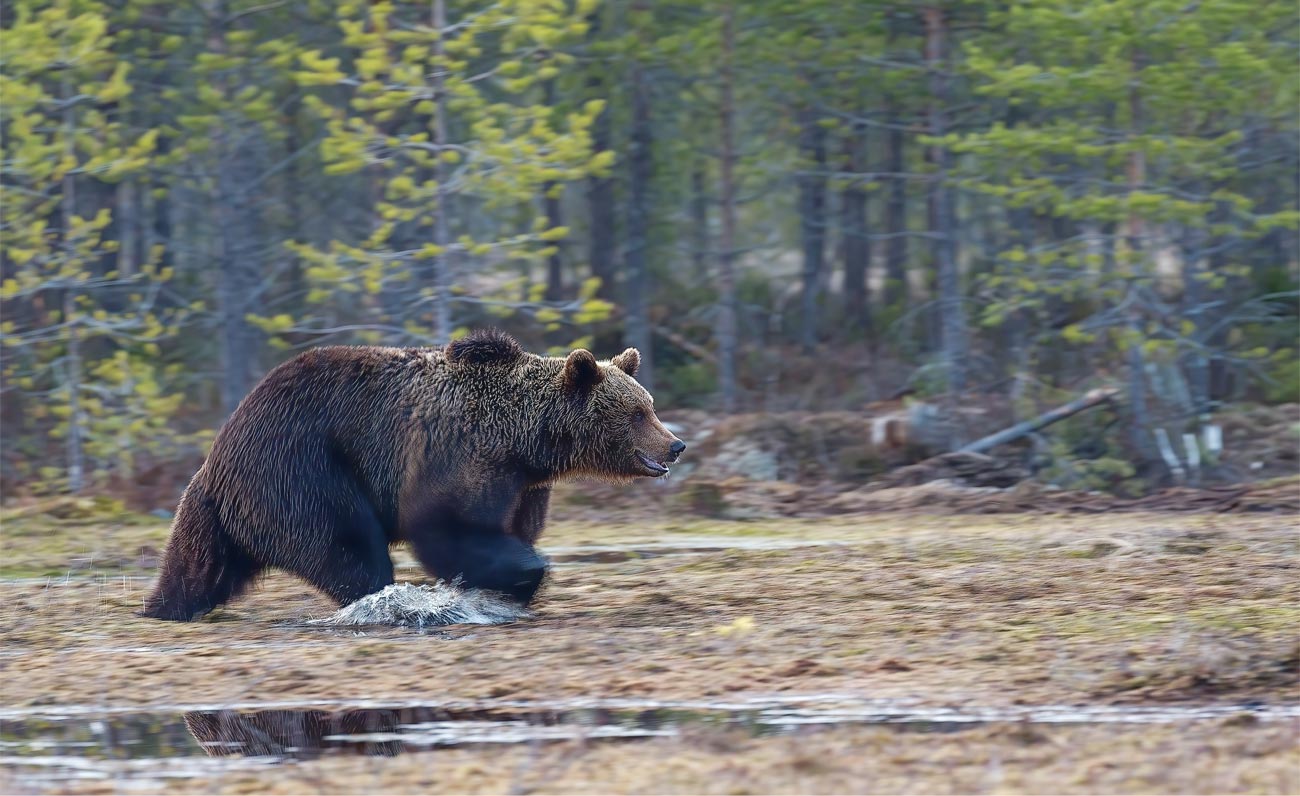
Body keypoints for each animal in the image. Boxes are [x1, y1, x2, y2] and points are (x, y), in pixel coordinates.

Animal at [143, 329, 686, 621]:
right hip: (301, 470)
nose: (675, 445)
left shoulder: (524, 485)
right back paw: (380, 599)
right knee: (346, 545)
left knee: (198, 566)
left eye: (649, 405)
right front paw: (514, 575)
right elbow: (445, 525)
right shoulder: (459, 451)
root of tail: (219, 451)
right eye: (638, 412)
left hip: (229, 509)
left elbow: (511, 528)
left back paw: (163, 606)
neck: (528, 441)